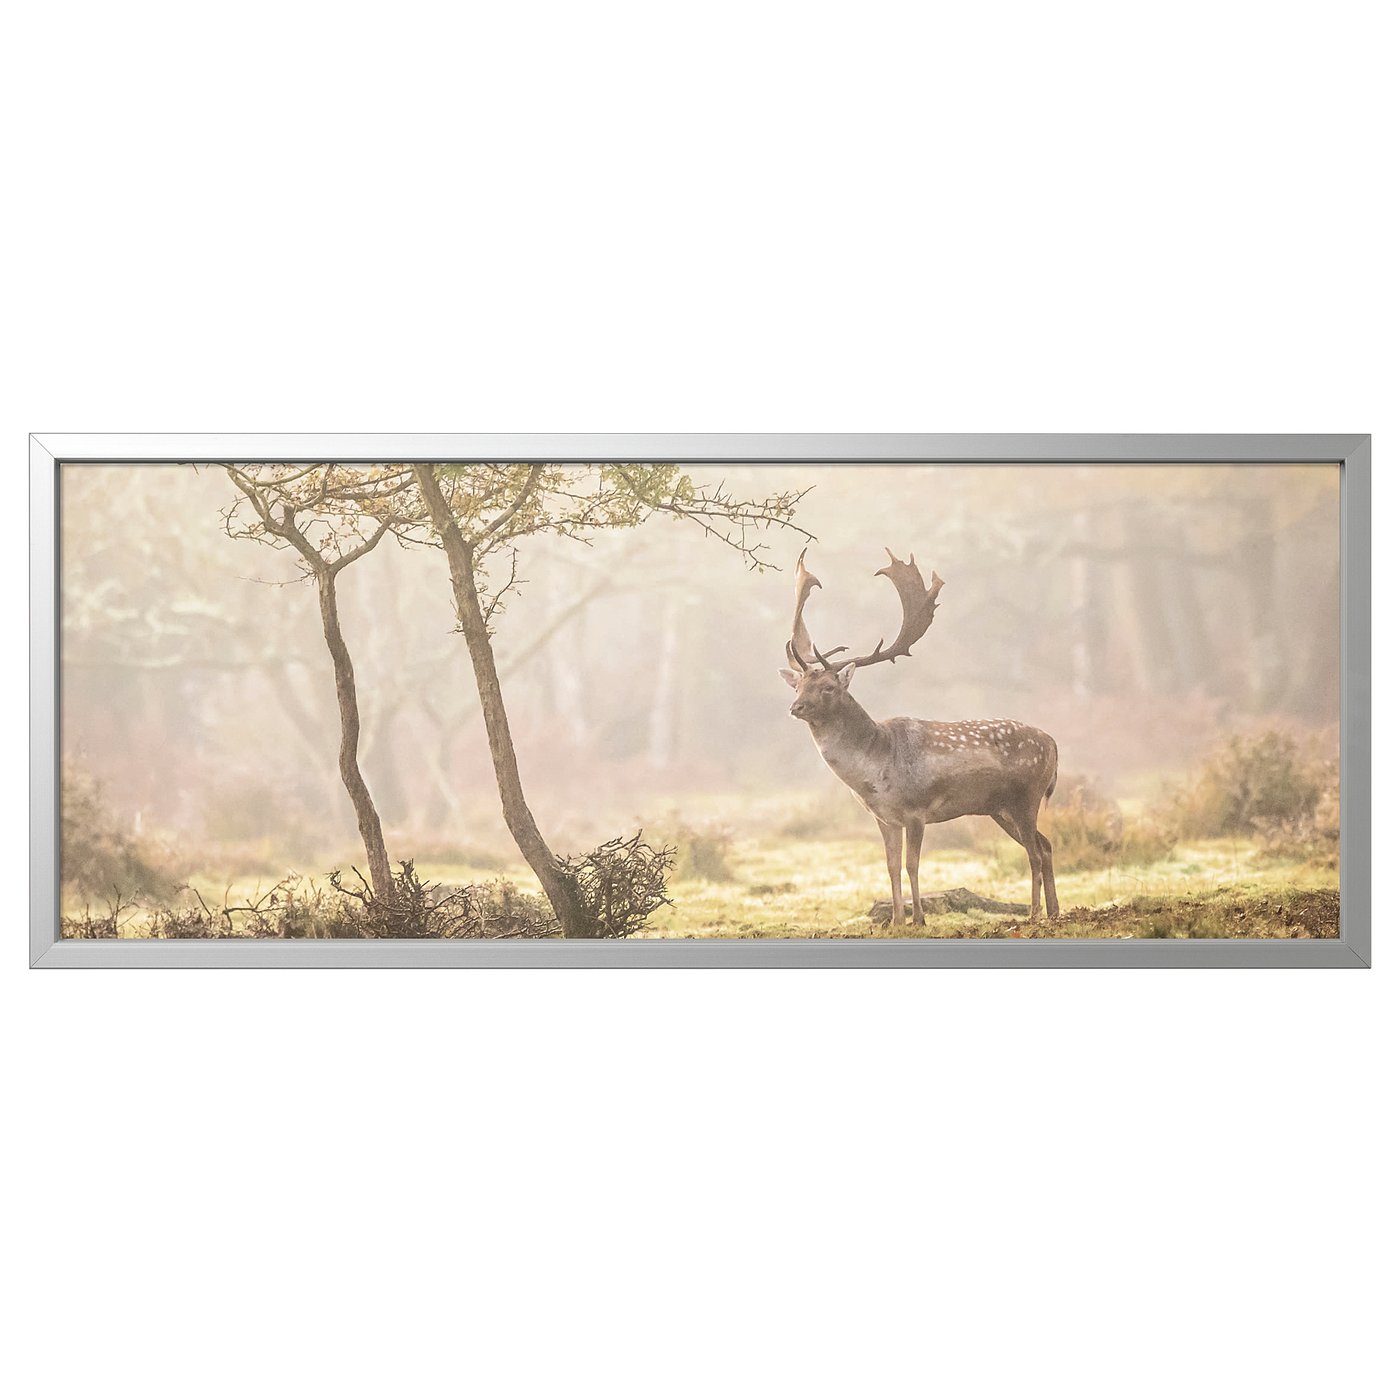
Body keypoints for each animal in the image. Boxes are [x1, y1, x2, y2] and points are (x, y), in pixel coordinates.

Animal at [779, 548, 1060, 927]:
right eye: (798, 685)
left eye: (827, 687)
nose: (795, 707)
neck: (873, 770)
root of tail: (1054, 744)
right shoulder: (884, 817)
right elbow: (891, 866)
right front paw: (897, 919)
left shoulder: (916, 810)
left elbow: (912, 864)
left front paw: (919, 918)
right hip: (999, 809)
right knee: (1046, 845)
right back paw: (1055, 911)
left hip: (1026, 797)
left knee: (1034, 852)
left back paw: (1033, 914)